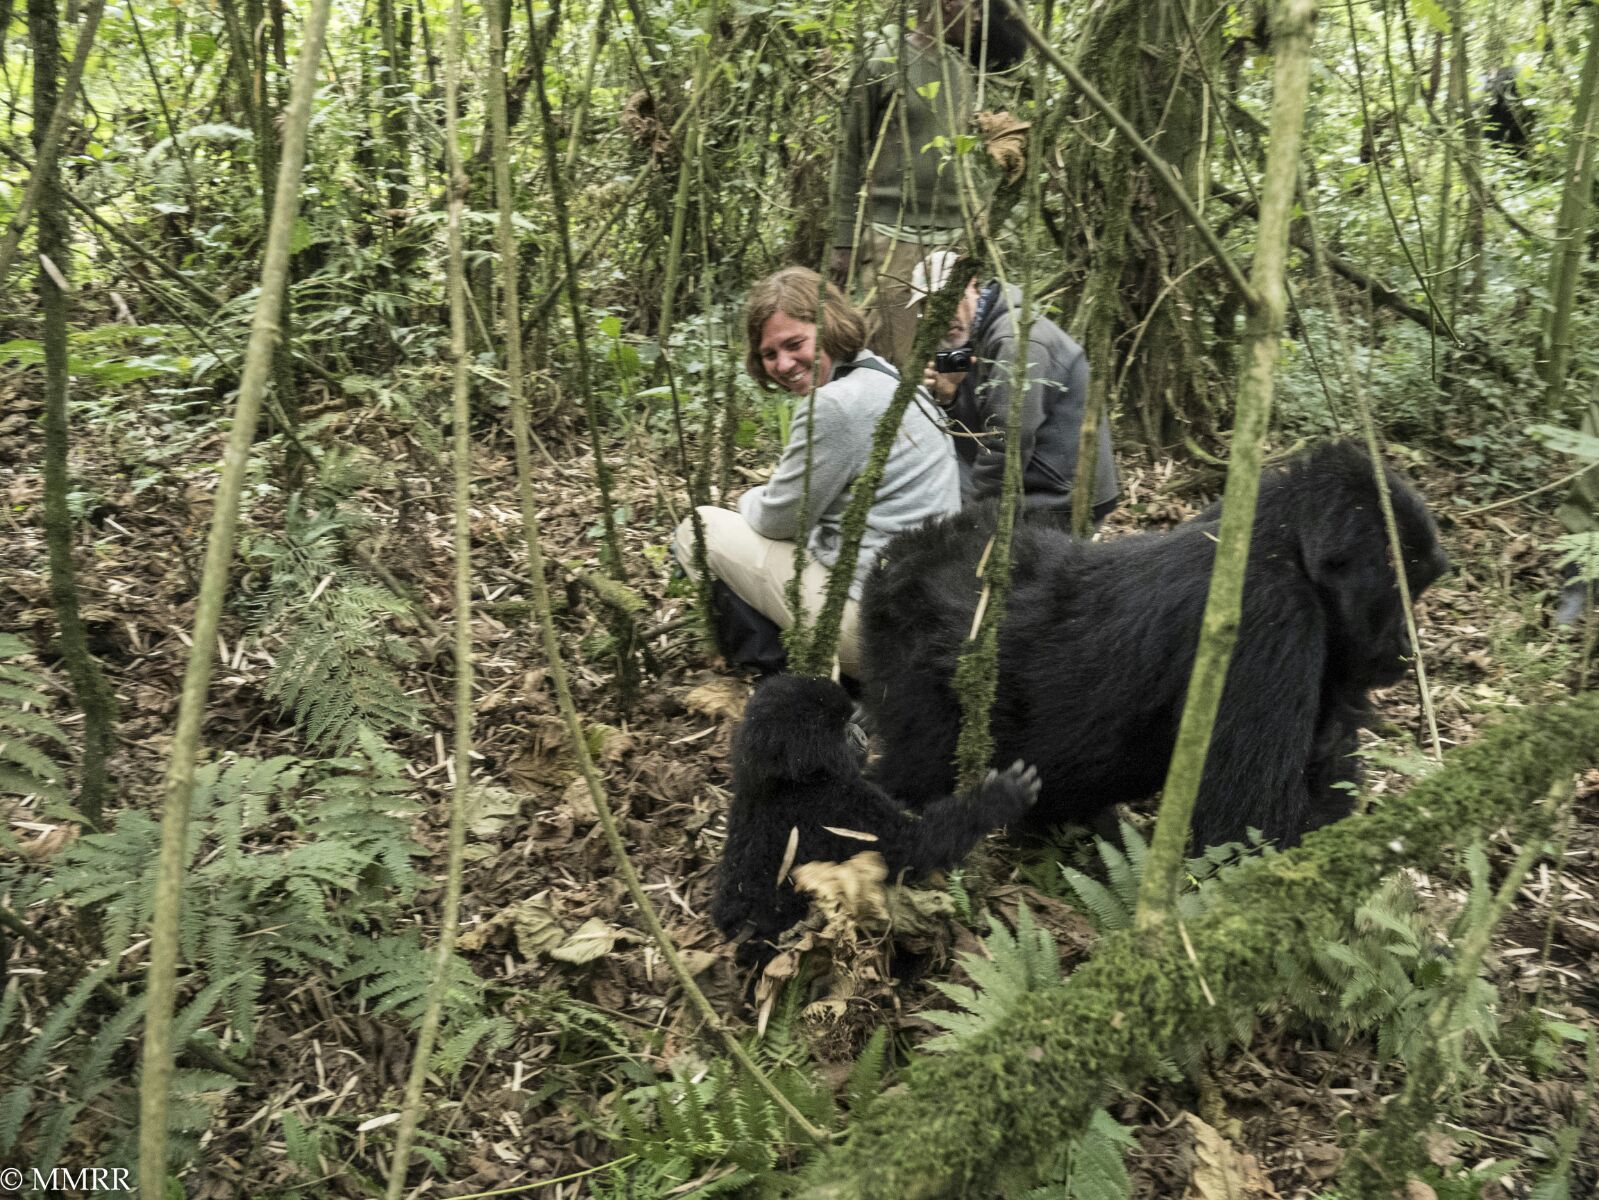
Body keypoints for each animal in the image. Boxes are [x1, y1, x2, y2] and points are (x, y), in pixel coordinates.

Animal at [713, 678, 1036, 966]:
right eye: (842, 733)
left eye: (846, 722)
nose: (858, 732)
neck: (788, 782)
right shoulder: (843, 803)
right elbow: (914, 847)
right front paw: (999, 797)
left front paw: (863, 715)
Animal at [863, 444, 1451, 857]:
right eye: (1403, 589)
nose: (1408, 642)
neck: (1285, 539)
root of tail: (907, 553)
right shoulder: (1270, 618)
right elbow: (1250, 831)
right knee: (911, 774)